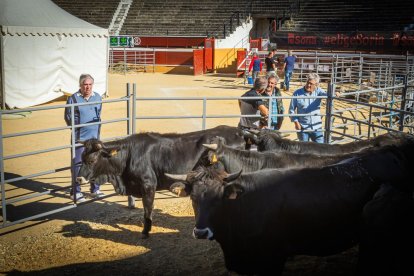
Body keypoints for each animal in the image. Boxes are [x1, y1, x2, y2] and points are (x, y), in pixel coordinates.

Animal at [77, 125, 246, 237]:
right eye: (82, 157)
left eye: (92, 160)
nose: (78, 178)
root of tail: (238, 132)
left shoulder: (148, 185)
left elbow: (147, 209)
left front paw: (146, 231)